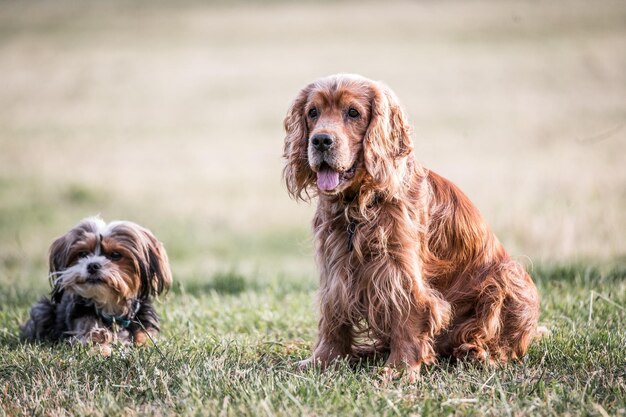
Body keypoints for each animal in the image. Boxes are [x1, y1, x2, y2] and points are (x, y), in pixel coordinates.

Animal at [20, 216, 171, 356]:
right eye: (83, 254)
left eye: (115, 254)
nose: (92, 265)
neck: (111, 306)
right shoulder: (86, 326)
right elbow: (96, 339)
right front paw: (105, 351)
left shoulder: (144, 328)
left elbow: (144, 340)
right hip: (42, 309)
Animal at [282, 73, 536, 378]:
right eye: (313, 112)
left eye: (353, 112)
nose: (321, 140)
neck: (359, 205)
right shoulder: (335, 270)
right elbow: (333, 317)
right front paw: (323, 360)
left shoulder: (399, 270)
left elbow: (408, 315)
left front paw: (400, 369)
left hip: (507, 276)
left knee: (500, 344)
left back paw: (476, 353)